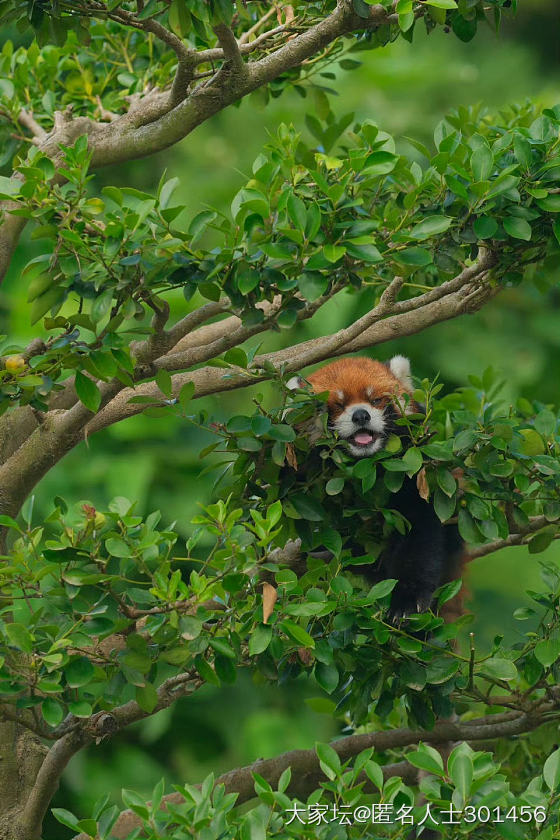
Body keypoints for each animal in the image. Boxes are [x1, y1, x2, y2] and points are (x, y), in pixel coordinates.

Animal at [288, 352, 464, 620]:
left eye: (376, 400)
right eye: (338, 405)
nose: (361, 415)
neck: (364, 466)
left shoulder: (413, 476)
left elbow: (420, 534)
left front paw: (408, 599)